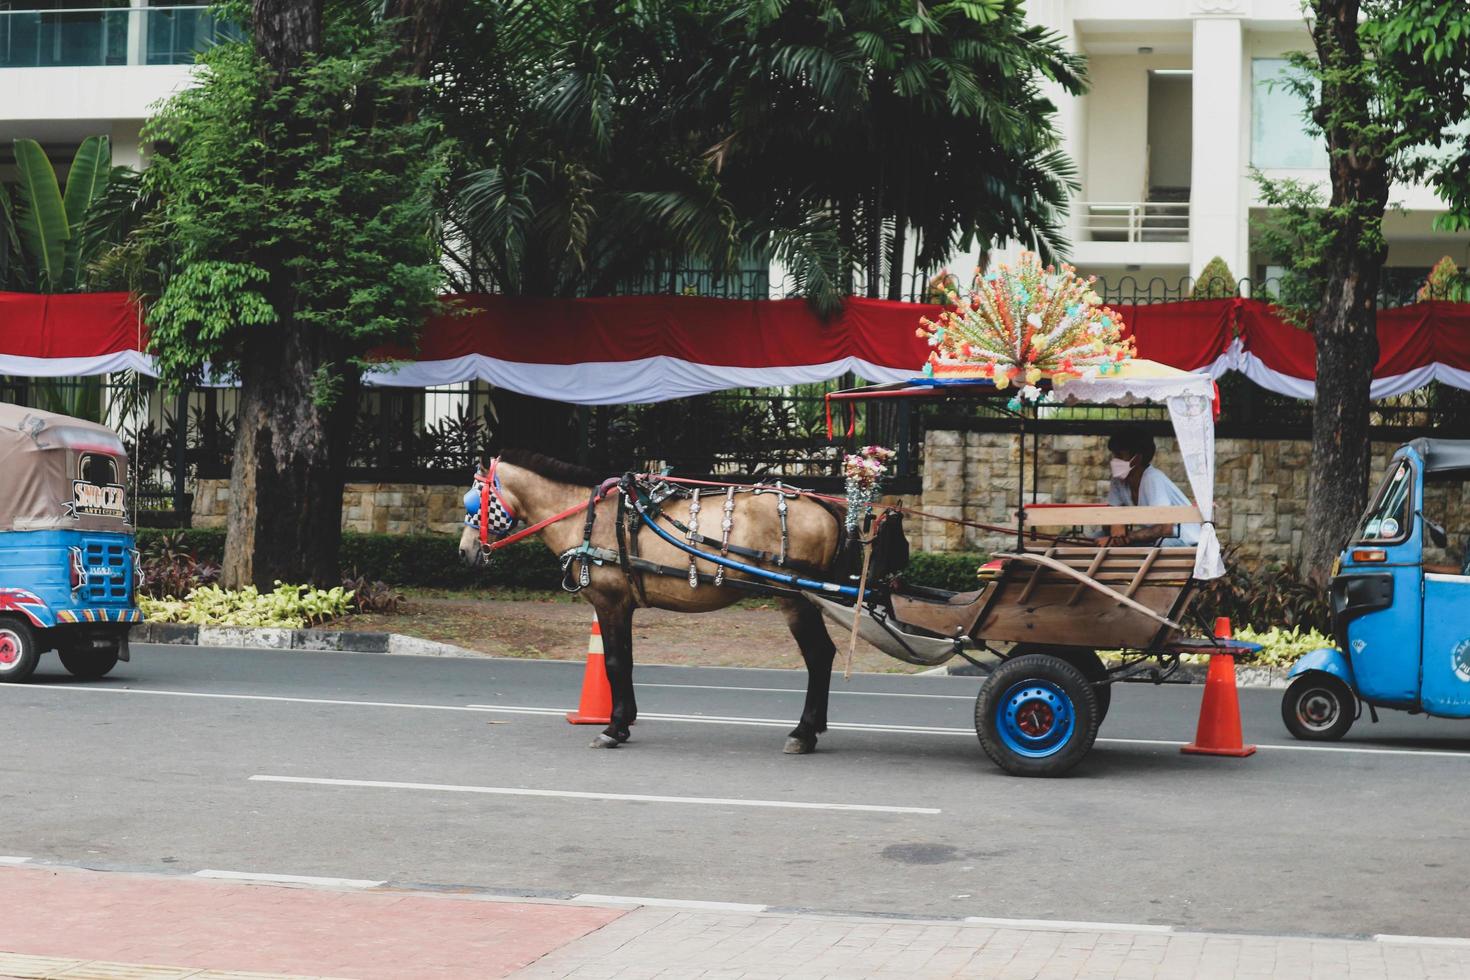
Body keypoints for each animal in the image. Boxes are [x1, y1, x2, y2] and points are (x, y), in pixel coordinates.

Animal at [458, 449, 852, 758]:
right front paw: (624, 719)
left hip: (794, 598)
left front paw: (613, 728)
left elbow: (615, 663)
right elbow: (626, 660)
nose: (464, 552)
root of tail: (823, 505)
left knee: (818, 656)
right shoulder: (623, 605)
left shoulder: (610, 602)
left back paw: (803, 732)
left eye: (474, 500)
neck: (586, 518)